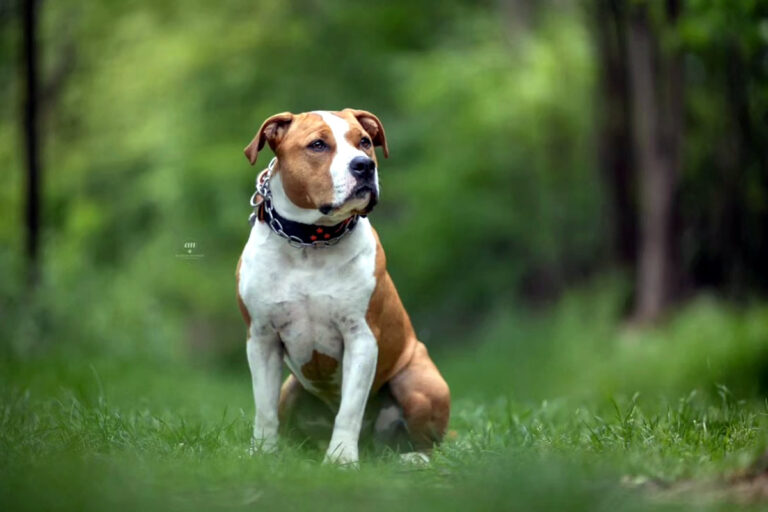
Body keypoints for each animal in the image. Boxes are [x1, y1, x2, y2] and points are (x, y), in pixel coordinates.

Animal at [234, 108, 450, 464]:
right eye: (318, 145)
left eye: (364, 141)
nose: (364, 165)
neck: (311, 242)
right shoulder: (262, 338)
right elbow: (263, 408)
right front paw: (262, 453)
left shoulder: (361, 337)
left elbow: (349, 408)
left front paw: (340, 459)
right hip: (290, 390)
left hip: (417, 382)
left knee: (430, 441)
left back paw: (413, 458)